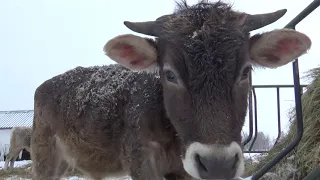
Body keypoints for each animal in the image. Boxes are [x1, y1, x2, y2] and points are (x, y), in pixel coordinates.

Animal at [30, 0, 312, 179]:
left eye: (245, 71)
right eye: (169, 74)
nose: (217, 165)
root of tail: (46, 84)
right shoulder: (142, 161)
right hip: (45, 156)